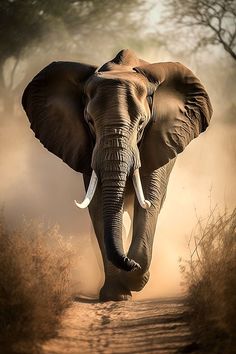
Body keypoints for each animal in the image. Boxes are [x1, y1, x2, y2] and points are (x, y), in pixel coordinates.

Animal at [21, 47, 212, 302]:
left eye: (142, 124)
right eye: (89, 122)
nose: (130, 263)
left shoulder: (158, 140)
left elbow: (149, 202)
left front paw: (135, 278)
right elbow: (99, 206)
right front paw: (117, 294)